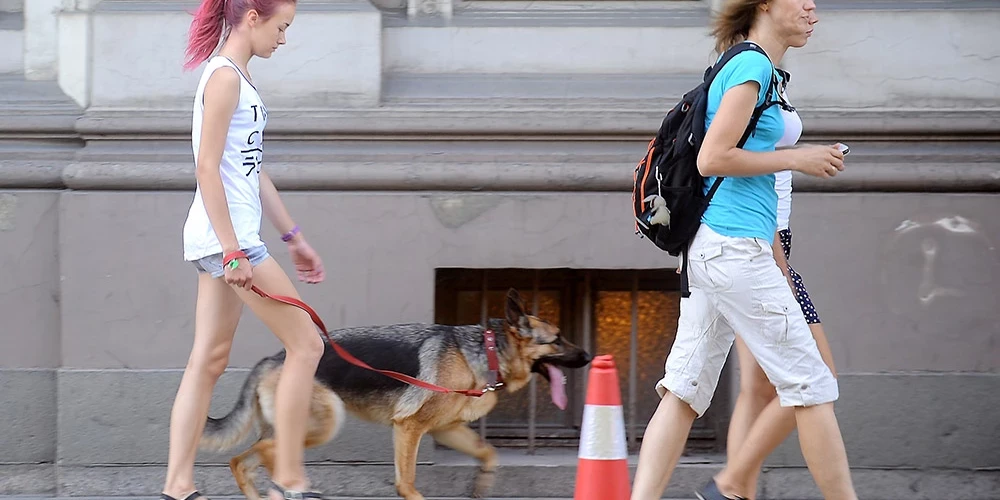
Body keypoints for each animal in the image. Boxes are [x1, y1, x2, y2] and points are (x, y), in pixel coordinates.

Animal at [201, 290, 592, 500]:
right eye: (557, 339)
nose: (589, 356)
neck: (488, 350)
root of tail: (273, 358)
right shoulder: (409, 428)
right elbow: (407, 481)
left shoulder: (446, 429)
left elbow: (488, 452)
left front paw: (482, 485)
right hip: (322, 424)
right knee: (268, 453)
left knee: (241, 461)